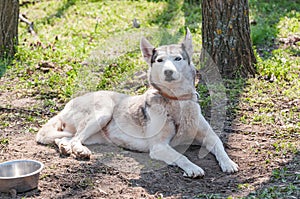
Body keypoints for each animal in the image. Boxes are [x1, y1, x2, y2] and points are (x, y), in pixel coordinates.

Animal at [36, 28, 238, 177]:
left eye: (178, 59)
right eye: (160, 60)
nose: (168, 71)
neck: (176, 101)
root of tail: (69, 103)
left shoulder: (208, 136)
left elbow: (219, 146)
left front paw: (228, 163)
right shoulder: (159, 147)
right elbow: (181, 157)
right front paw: (193, 168)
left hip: (95, 134)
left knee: (66, 138)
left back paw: (65, 147)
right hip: (103, 112)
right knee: (76, 139)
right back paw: (80, 150)